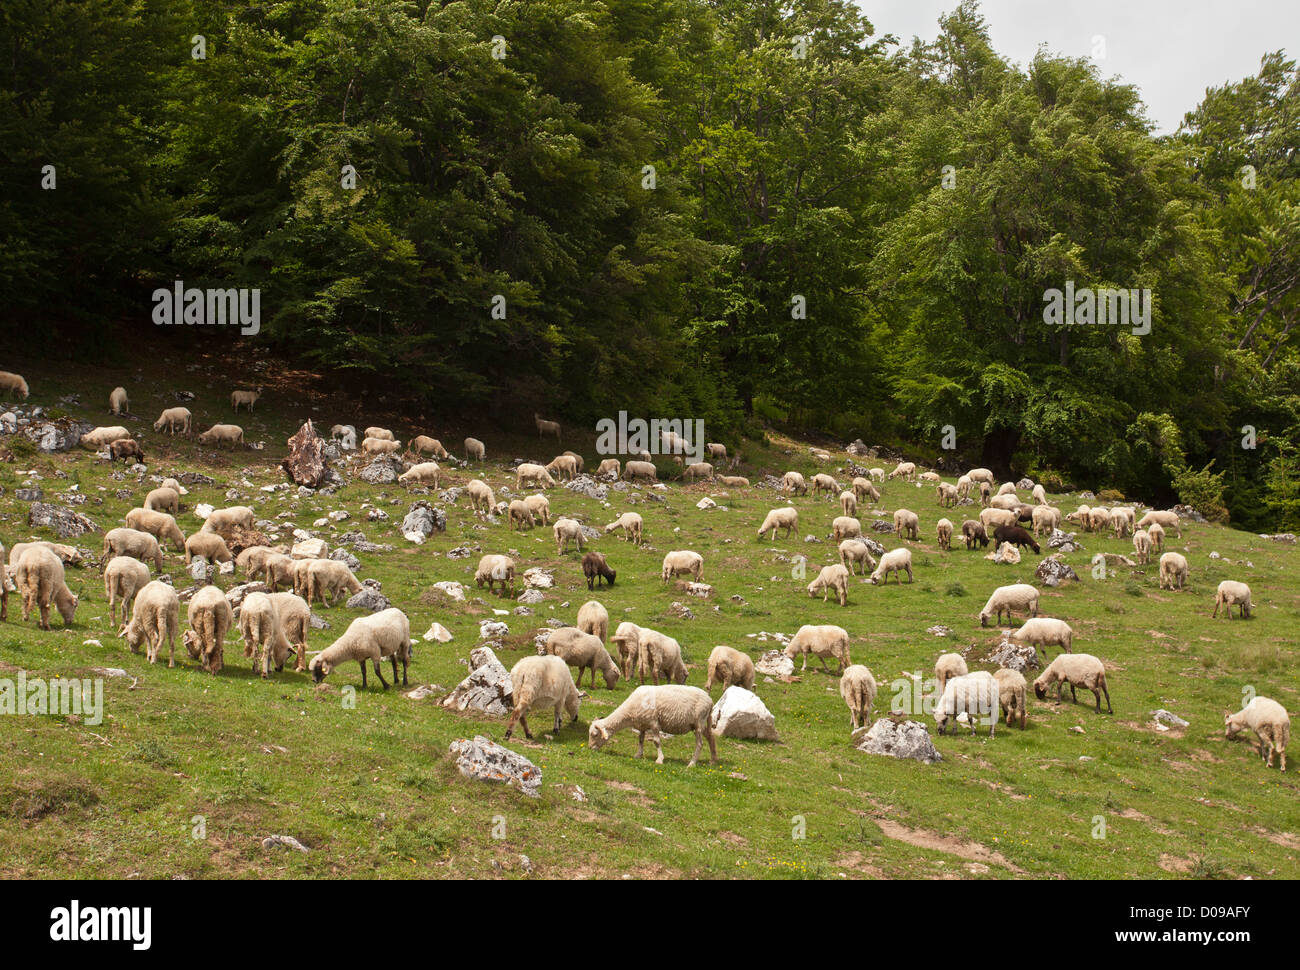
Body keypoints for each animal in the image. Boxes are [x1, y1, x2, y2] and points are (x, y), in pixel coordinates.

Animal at [588, 685, 717, 766]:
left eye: (595, 734)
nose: (589, 748)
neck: (629, 712)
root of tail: (710, 701)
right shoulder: (642, 724)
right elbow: (640, 739)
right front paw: (638, 755)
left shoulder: (654, 723)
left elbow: (656, 742)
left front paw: (660, 759)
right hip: (701, 723)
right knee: (711, 737)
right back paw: (713, 760)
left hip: (699, 722)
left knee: (700, 744)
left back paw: (692, 763)